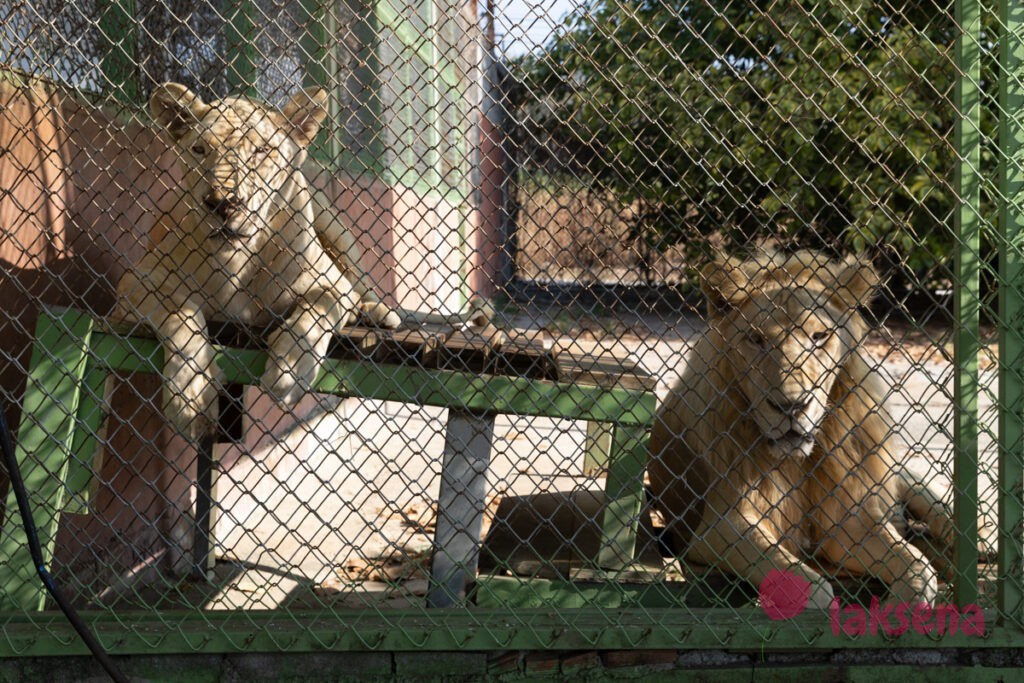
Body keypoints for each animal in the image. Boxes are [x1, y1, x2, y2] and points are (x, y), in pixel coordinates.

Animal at [116, 83, 491, 438]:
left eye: (261, 151)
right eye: (199, 150)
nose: (223, 204)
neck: (240, 259)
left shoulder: (331, 284)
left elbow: (315, 312)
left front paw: (289, 372)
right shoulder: (135, 279)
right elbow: (180, 313)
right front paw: (192, 398)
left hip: (333, 223)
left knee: (363, 289)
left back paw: (378, 314)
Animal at [651, 250, 954, 610]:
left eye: (819, 337)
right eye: (756, 339)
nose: (792, 406)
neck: (798, 462)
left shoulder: (849, 518)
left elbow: (917, 566)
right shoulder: (717, 528)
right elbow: (810, 585)